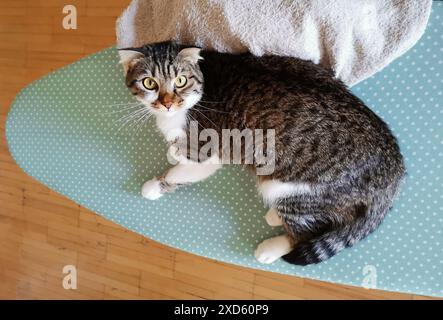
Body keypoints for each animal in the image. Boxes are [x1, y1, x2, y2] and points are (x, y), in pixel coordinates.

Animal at [117, 42, 406, 264]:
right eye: (149, 83)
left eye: (180, 81)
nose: (167, 103)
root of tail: (395, 169)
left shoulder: (207, 153)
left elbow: (179, 171)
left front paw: (156, 184)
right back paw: (274, 215)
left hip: (288, 186)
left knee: (306, 232)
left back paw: (270, 247)